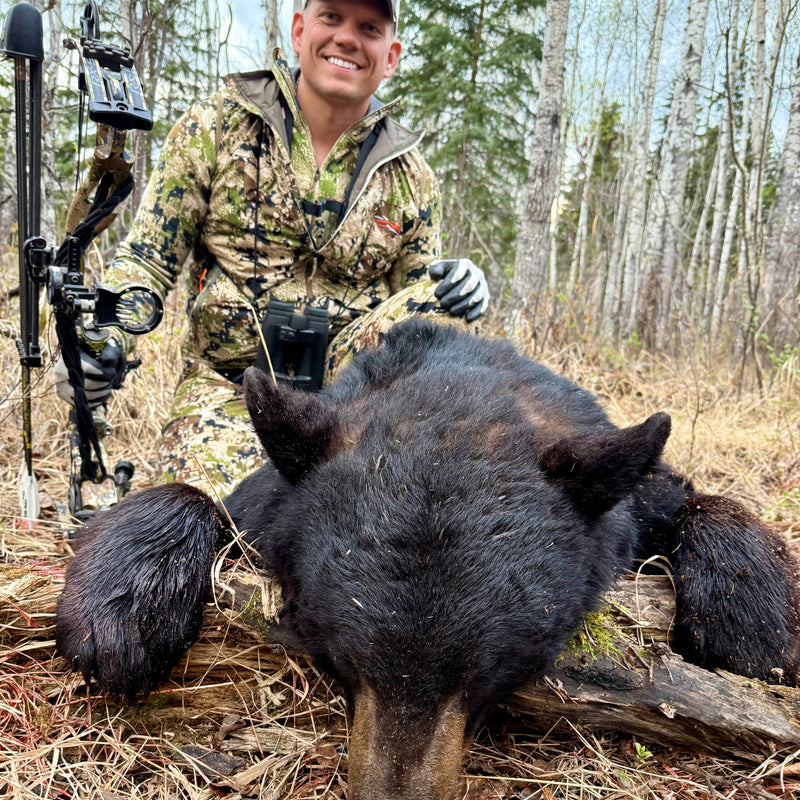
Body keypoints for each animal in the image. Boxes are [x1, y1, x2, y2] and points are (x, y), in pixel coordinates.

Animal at [55, 319, 800, 800]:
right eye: (340, 658)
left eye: (488, 672)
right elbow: (201, 497)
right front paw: (118, 609)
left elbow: (698, 499)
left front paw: (757, 621)